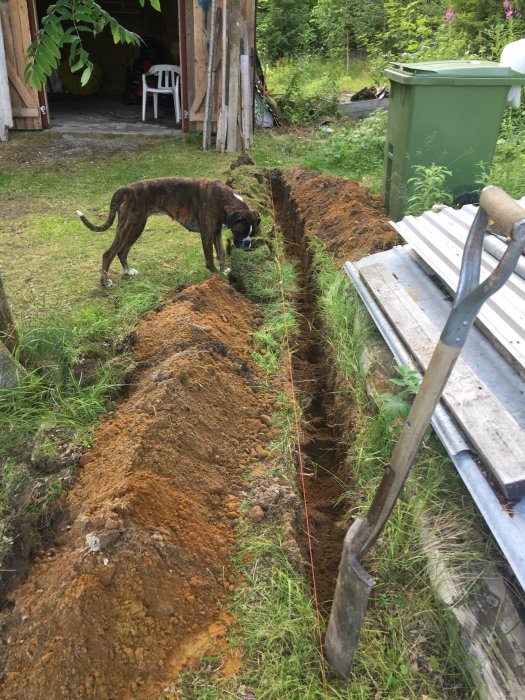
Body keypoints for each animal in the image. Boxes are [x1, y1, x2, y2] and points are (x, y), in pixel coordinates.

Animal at [75, 178, 260, 288]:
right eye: (241, 232)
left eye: (252, 234)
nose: (247, 243)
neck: (222, 198)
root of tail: (126, 189)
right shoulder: (207, 234)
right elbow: (209, 258)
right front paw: (216, 276)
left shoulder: (216, 232)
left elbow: (220, 253)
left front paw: (224, 270)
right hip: (130, 226)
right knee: (109, 253)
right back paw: (104, 282)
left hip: (135, 227)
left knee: (122, 251)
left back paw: (128, 271)